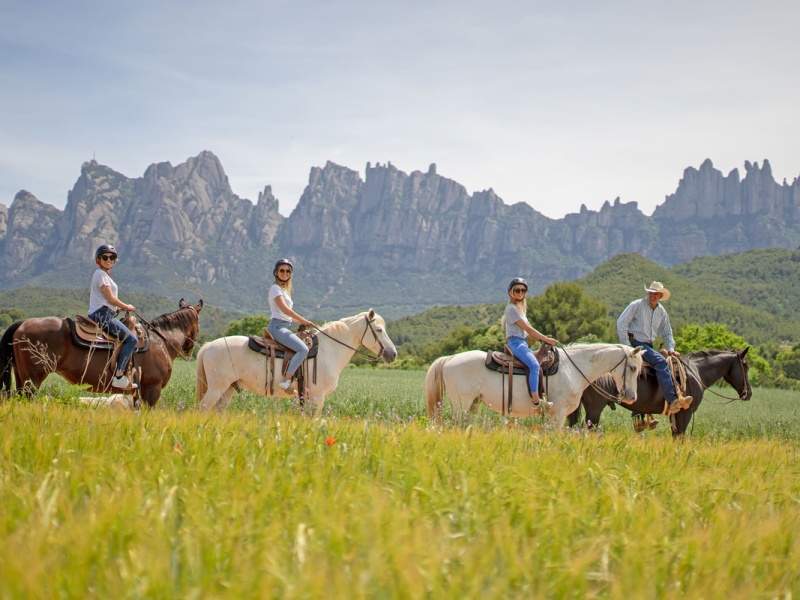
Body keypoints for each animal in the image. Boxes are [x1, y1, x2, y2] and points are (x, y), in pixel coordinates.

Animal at [1, 300, 202, 408]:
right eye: (198, 324)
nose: (189, 348)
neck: (161, 341)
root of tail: (22, 323)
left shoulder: (139, 391)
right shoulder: (153, 389)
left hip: (22, 377)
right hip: (32, 380)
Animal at [197, 310, 396, 412]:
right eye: (379, 330)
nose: (392, 354)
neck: (329, 350)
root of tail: (208, 346)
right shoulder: (317, 397)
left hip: (228, 389)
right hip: (216, 388)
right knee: (203, 409)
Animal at [424, 342, 644, 426]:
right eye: (633, 368)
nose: (632, 397)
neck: (572, 368)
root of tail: (450, 358)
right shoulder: (558, 414)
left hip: (473, 405)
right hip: (461, 405)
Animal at [564, 346, 752, 436]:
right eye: (745, 366)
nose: (748, 393)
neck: (696, 371)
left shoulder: (676, 415)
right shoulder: (685, 413)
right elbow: (680, 437)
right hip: (594, 409)